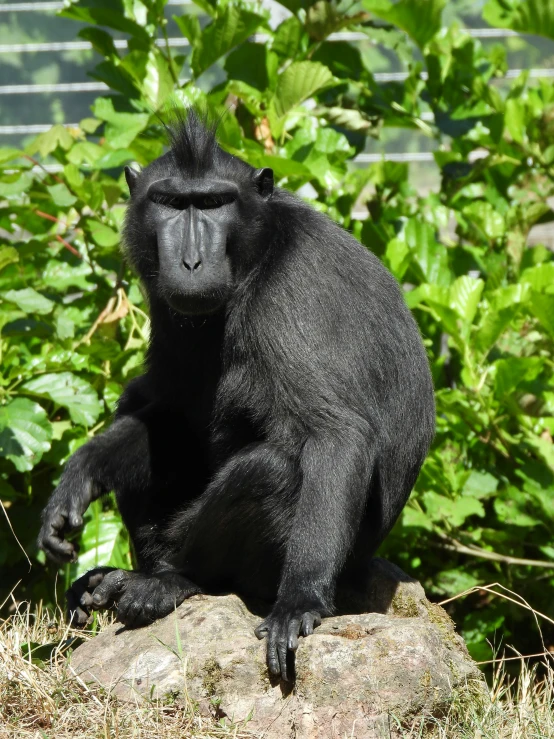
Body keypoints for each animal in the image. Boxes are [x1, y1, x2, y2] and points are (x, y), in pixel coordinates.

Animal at [38, 110, 436, 684]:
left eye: (213, 203)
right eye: (170, 202)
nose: (190, 262)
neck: (257, 251)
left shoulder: (292, 291)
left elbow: (336, 433)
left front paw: (300, 601)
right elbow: (167, 408)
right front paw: (80, 475)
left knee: (269, 472)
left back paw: (169, 581)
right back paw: (124, 575)